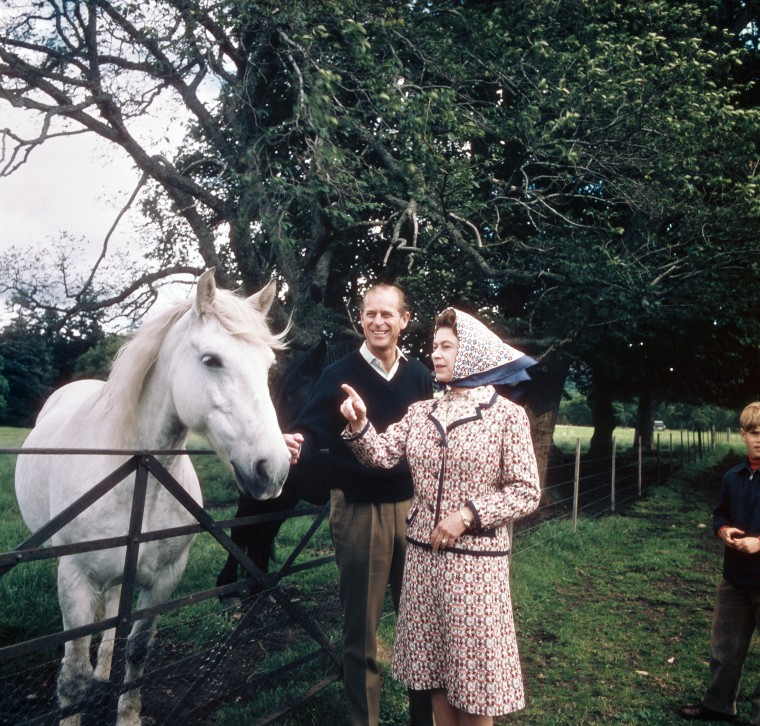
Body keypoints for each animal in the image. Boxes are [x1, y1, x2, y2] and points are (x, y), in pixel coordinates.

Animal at [12, 270, 290, 724]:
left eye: (267, 365)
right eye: (211, 360)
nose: (275, 469)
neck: (139, 477)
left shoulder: (164, 580)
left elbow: (139, 653)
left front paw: (127, 713)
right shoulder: (75, 579)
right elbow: (72, 675)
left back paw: (104, 670)